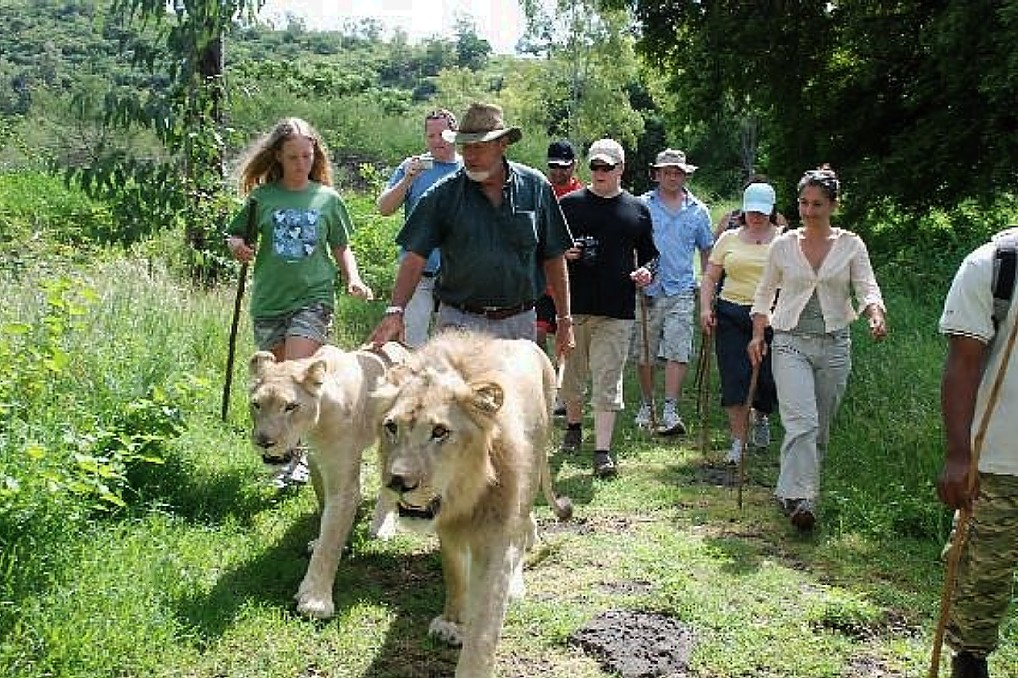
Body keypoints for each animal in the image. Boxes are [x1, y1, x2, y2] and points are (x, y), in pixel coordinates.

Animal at [245, 337, 405, 618]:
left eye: (291, 406)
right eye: (256, 404)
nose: (264, 442)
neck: (316, 425)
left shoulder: (344, 482)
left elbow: (330, 542)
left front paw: (315, 600)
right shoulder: (316, 461)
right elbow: (325, 513)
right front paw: (324, 540)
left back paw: (381, 526)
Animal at [374, 327, 574, 675]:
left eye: (440, 431)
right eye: (391, 427)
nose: (397, 482)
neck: (466, 495)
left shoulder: (495, 536)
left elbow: (484, 623)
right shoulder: (449, 529)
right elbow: (454, 574)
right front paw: (453, 623)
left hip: (534, 463)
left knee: (523, 529)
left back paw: (516, 582)